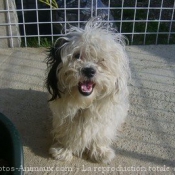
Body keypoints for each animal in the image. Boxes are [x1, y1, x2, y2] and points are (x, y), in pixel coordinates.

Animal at [45, 18, 131, 164]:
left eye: (102, 59)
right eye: (77, 55)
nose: (89, 70)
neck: (85, 102)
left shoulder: (104, 119)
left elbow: (100, 134)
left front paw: (100, 151)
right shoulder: (64, 116)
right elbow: (67, 132)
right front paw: (64, 150)